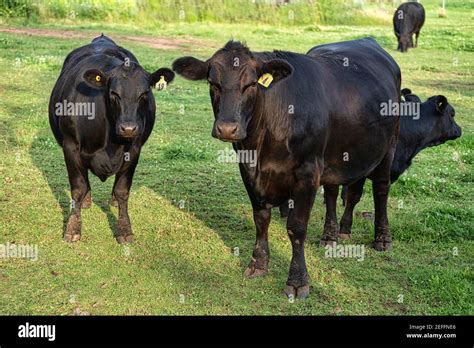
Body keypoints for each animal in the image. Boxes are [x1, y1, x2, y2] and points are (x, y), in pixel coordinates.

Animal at [49, 34, 174, 242]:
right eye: (114, 93)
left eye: (144, 93)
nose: (129, 128)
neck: (109, 143)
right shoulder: (70, 146)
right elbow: (78, 188)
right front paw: (73, 228)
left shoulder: (134, 150)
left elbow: (123, 190)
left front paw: (125, 230)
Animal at [172, 38, 402, 300]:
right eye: (213, 83)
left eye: (251, 84)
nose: (227, 129)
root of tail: (367, 40)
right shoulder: (248, 170)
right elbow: (261, 219)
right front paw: (258, 264)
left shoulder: (308, 173)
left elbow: (296, 227)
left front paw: (298, 281)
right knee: (336, 193)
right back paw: (333, 234)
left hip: (389, 146)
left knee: (381, 190)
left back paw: (382, 239)